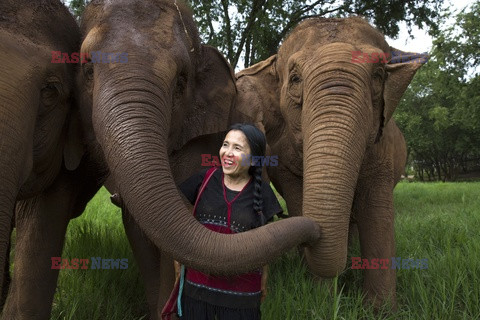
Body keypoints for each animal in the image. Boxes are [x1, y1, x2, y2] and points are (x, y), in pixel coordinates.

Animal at [233, 16, 428, 308]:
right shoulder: (285, 155)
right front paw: (322, 299)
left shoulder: (382, 148)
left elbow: (376, 210)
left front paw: (380, 309)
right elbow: (299, 198)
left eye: (379, 75)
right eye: (295, 79)